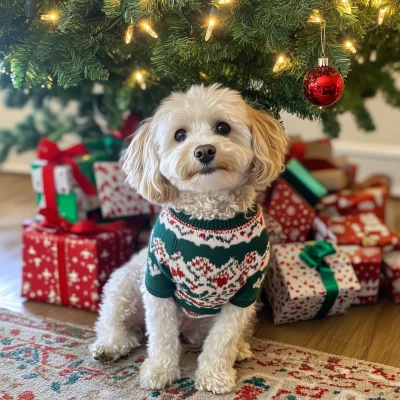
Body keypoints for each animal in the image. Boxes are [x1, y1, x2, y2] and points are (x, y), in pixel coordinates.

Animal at [90, 83, 288, 394]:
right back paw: (110, 345)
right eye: (180, 135)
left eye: (222, 128)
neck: (210, 219)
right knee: (118, 323)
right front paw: (160, 370)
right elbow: (160, 336)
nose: (204, 150)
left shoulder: (245, 294)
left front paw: (214, 375)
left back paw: (239, 349)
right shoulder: (157, 284)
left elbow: (223, 339)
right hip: (126, 283)